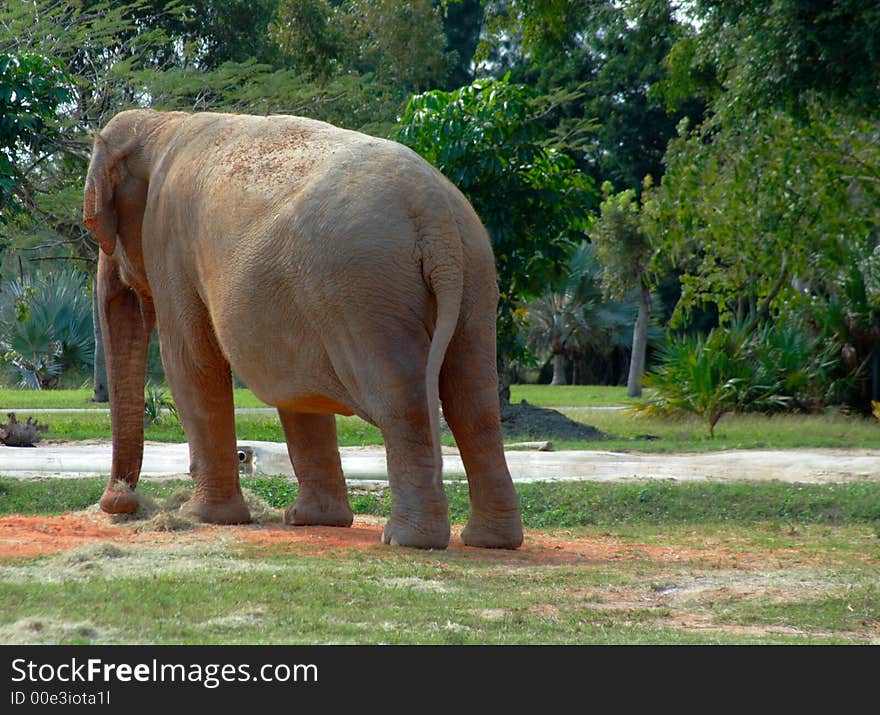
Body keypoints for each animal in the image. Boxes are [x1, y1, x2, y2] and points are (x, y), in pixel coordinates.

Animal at [81, 109, 524, 552]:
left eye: (97, 228)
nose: (120, 502)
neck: (164, 122)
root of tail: (436, 217)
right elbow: (296, 388)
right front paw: (310, 520)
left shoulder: (168, 244)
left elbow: (191, 363)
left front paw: (202, 517)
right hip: (474, 279)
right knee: (473, 402)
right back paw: (490, 541)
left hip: (366, 292)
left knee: (401, 400)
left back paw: (407, 540)